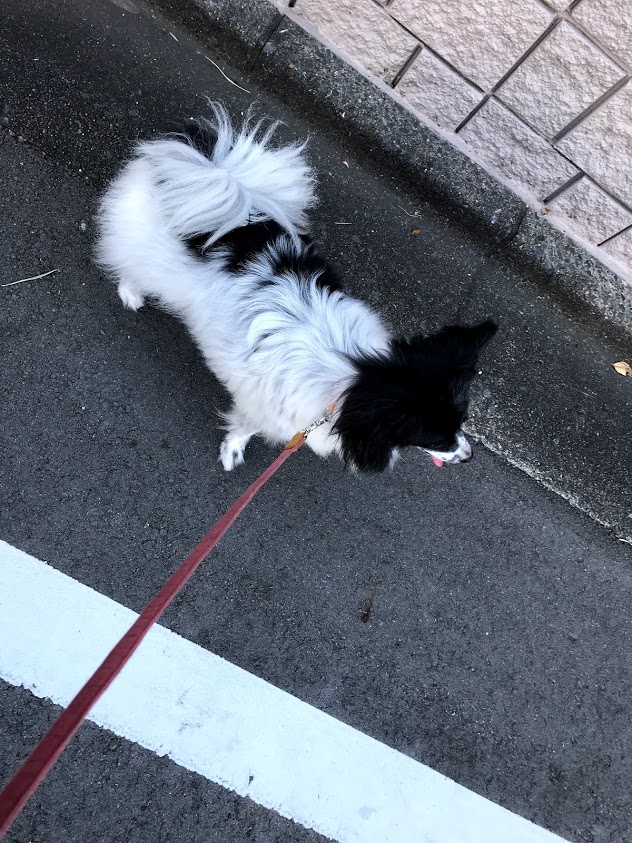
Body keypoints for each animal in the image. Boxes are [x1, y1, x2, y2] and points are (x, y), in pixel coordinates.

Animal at [96, 103, 496, 472]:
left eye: (460, 423)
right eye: (436, 438)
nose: (468, 456)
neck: (351, 378)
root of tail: (214, 169)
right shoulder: (267, 408)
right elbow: (247, 427)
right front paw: (233, 451)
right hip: (156, 261)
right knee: (131, 263)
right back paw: (131, 293)